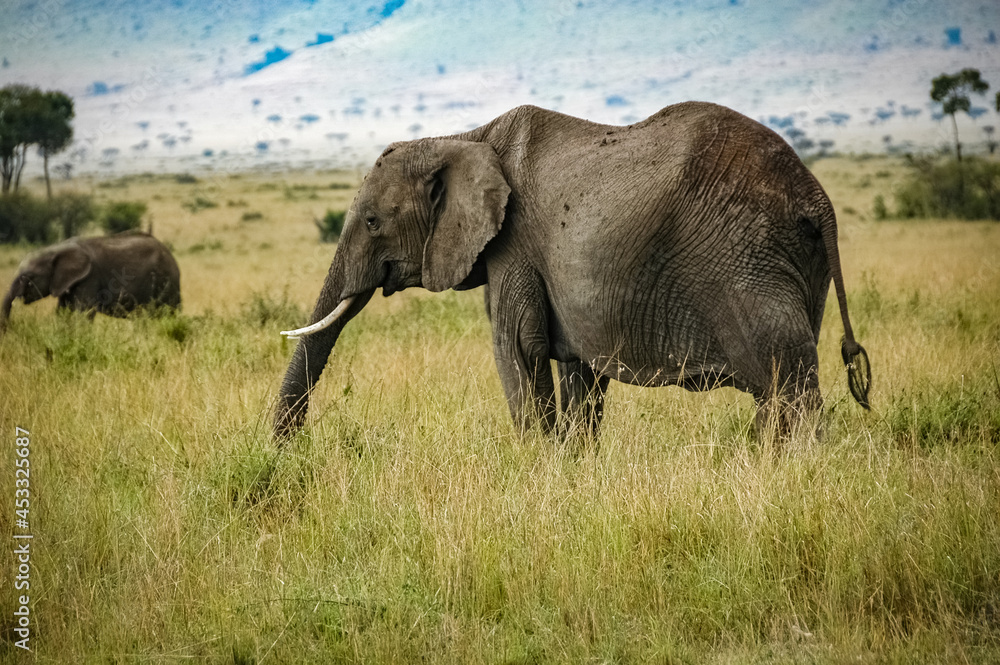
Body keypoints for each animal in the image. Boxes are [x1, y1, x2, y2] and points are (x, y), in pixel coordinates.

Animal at [1, 232, 181, 333]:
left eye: (27, 277)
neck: (56, 249)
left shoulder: (89, 278)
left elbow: (84, 313)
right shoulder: (68, 282)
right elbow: (62, 312)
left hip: (166, 282)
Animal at [274, 102, 870, 440]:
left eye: (373, 221)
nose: (290, 451)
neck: (463, 137)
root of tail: (816, 197)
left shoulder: (514, 245)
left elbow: (517, 349)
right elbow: (579, 374)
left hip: (749, 260)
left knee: (788, 383)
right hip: (793, 263)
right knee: (780, 385)